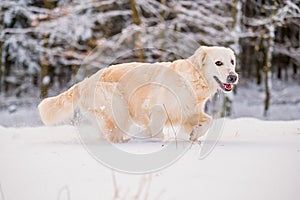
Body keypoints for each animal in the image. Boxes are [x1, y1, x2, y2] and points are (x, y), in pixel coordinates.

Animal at [38, 45, 239, 142]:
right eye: (218, 63)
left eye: (232, 61)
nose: (233, 77)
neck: (193, 79)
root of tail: (84, 82)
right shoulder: (156, 107)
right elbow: (156, 128)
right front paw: (146, 134)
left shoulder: (190, 110)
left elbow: (208, 121)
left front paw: (194, 135)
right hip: (118, 106)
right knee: (113, 132)